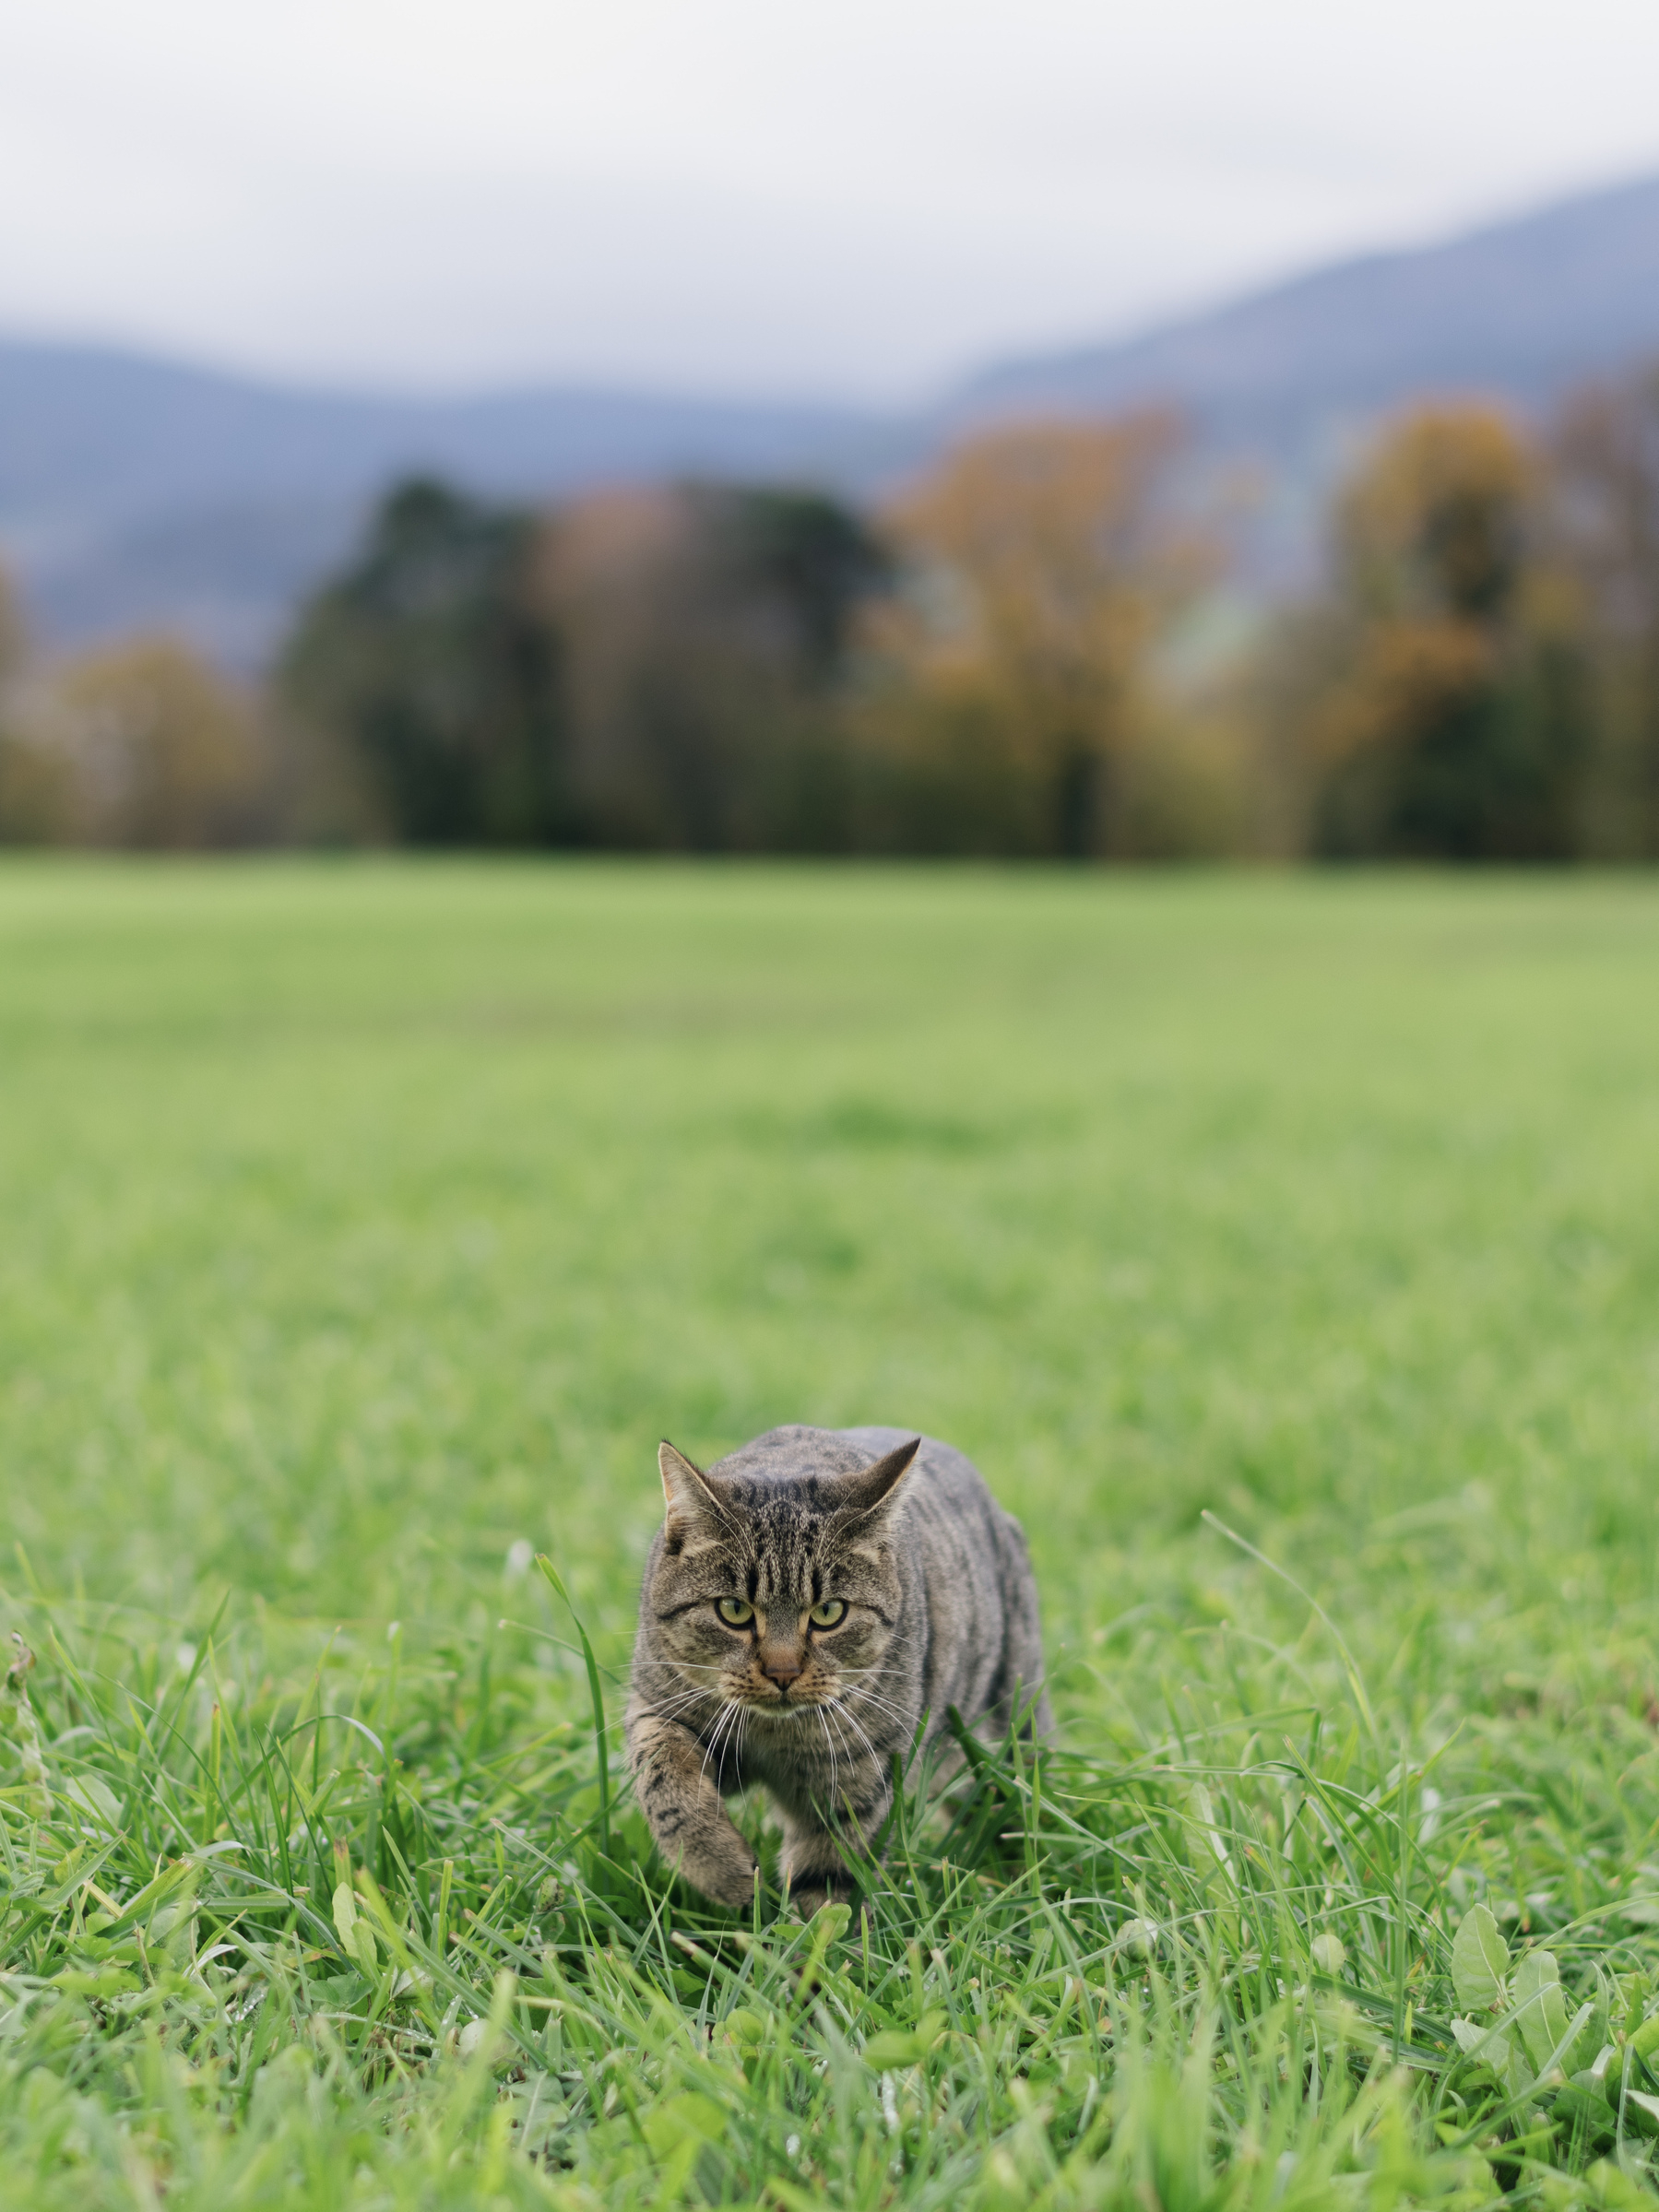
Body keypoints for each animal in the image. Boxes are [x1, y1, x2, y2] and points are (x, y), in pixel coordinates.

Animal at [623, 1424, 1052, 1910]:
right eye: (734, 1610)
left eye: (829, 1612)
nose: (783, 1673)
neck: (774, 1733)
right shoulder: (660, 1706)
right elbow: (663, 1779)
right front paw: (721, 1869)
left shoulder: (859, 1777)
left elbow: (832, 1882)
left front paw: (806, 1930)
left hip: (1010, 1747)